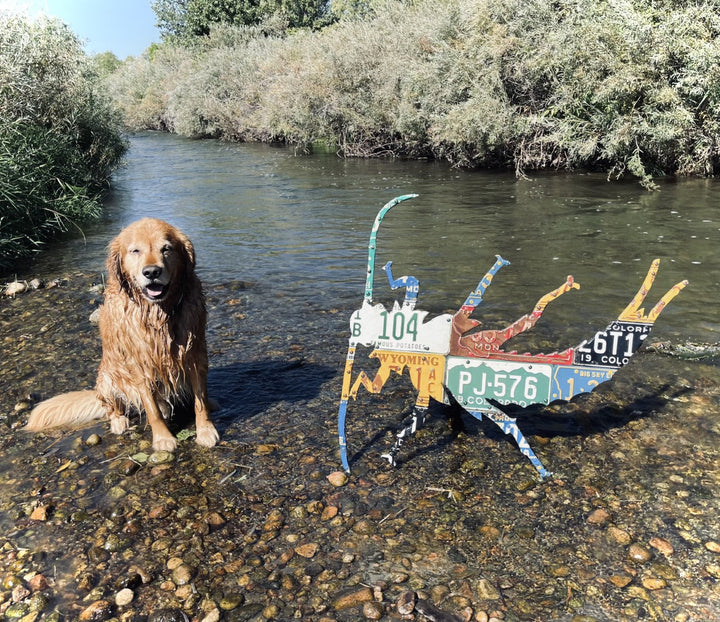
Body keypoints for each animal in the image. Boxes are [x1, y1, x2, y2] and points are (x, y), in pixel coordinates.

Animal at [25, 221, 219, 454]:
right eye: (135, 251)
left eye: (166, 249)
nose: (152, 272)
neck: (158, 314)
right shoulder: (139, 364)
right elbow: (152, 410)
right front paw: (162, 438)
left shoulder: (194, 353)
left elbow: (200, 401)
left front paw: (205, 430)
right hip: (108, 379)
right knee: (114, 408)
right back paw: (119, 421)